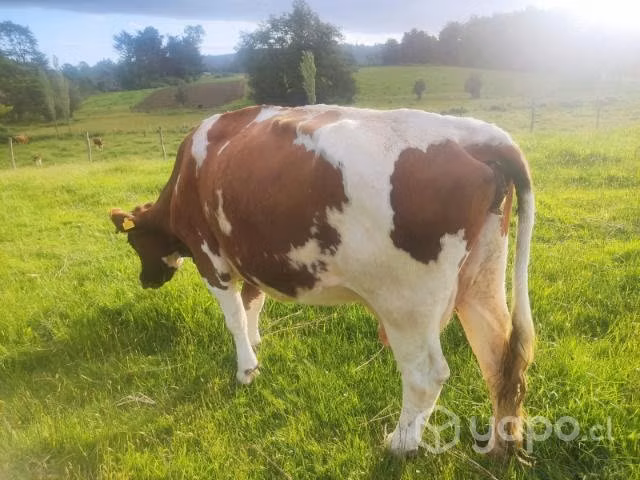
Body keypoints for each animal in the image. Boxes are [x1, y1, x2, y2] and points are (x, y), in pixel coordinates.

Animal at [109, 105, 534, 457]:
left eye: (133, 241)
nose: (146, 281)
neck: (187, 175)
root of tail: (478, 137)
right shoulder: (251, 254)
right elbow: (253, 302)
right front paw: (257, 342)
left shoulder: (210, 256)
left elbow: (234, 318)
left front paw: (246, 369)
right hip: (481, 278)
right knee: (500, 357)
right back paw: (501, 444)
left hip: (407, 303)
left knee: (426, 375)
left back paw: (400, 444)